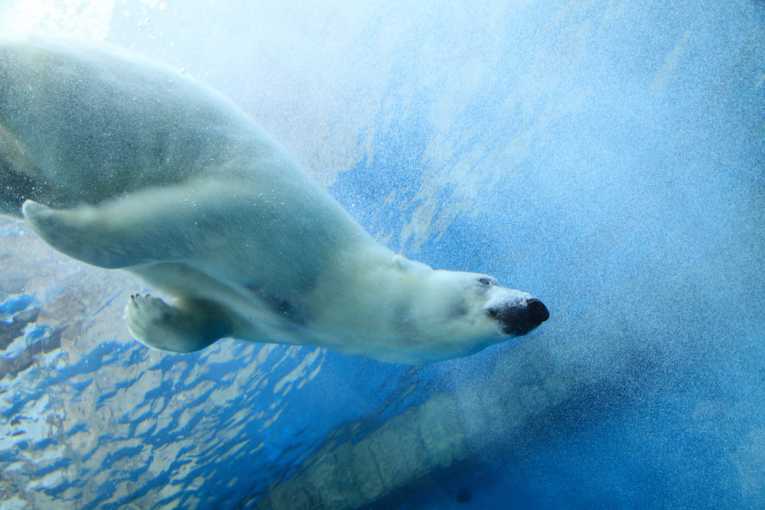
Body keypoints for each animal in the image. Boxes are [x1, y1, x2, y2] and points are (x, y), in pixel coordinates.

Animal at [0, 38, 548, 364]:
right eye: (485, 279)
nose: (535, 307)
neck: (325, 288)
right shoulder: (269, 218)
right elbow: (175, 217)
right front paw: (50, 222)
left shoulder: (265, 319)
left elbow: (206, 320)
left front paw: (144, 312)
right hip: (47, 82)